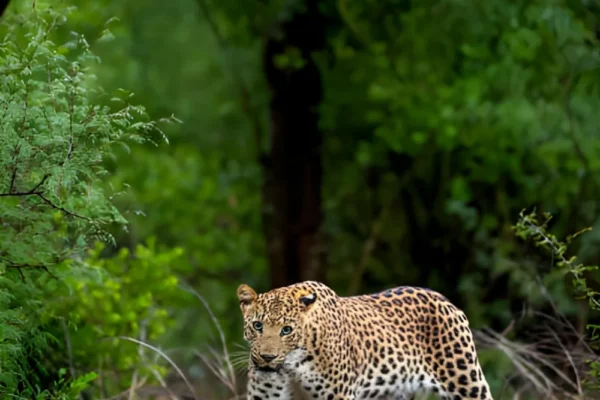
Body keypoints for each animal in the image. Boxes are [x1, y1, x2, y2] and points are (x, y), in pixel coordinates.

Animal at [237, 280, 494, 398]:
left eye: (287, 330)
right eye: (257, 326)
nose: (267, 357)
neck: (292, 366)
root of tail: (444, 299)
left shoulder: (338, 396)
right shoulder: (265, 396)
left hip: (467, 383)